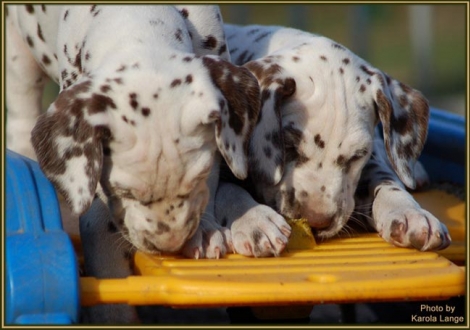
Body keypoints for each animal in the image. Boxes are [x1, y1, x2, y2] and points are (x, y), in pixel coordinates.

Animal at [215, 23, 450, 258]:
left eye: (356, 156)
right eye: (289, 146)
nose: (316, 221)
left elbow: (386, 178)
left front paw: (409, 211)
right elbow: (225, 189)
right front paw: (254, 219)